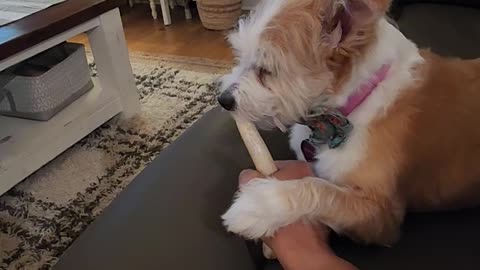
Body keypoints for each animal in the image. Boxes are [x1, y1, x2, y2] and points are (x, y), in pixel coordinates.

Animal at [218, 0, 480, 246]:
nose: (222, 100)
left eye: (266, 70)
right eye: (240, 56)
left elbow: (320, 189)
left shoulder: (382, 215)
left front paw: (259, 205)